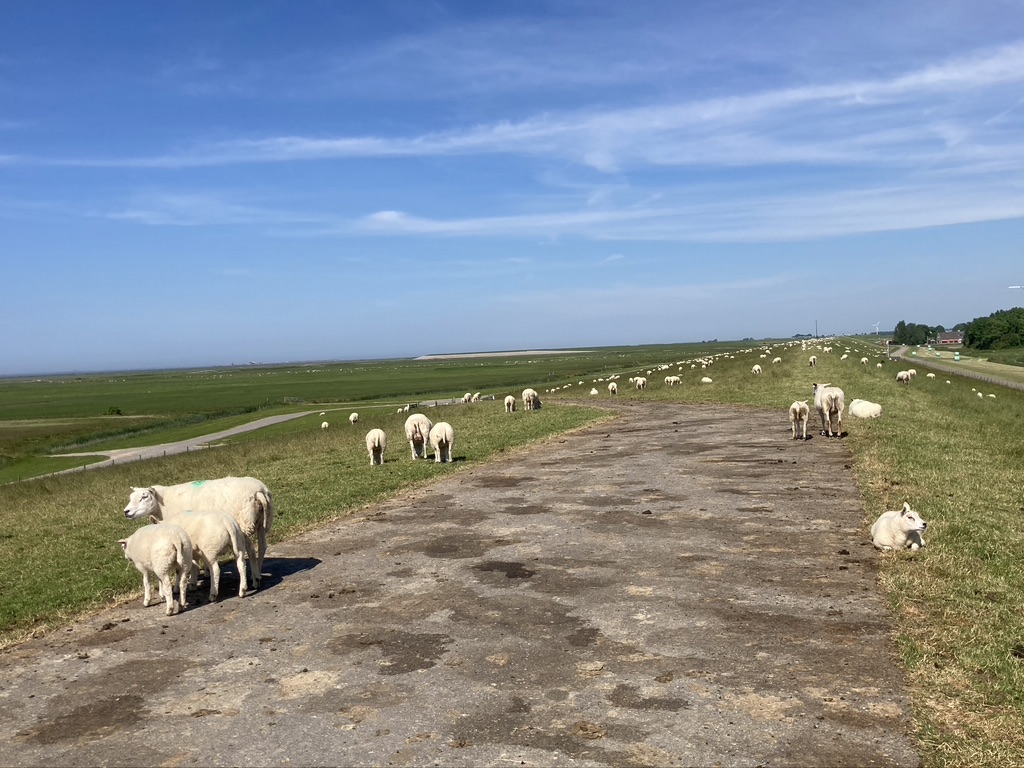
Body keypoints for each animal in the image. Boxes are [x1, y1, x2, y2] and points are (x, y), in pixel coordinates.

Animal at [122, 479, 274, 593]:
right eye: (131, 497)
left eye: (144, 496)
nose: (126, 512)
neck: (163, 503)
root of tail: (259, 491)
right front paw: (205, 572)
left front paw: (191, 581)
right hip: (261, 522)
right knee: (262, 546)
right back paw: (258, 573)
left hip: (243, 523)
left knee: (251, 550)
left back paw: (255, 579)